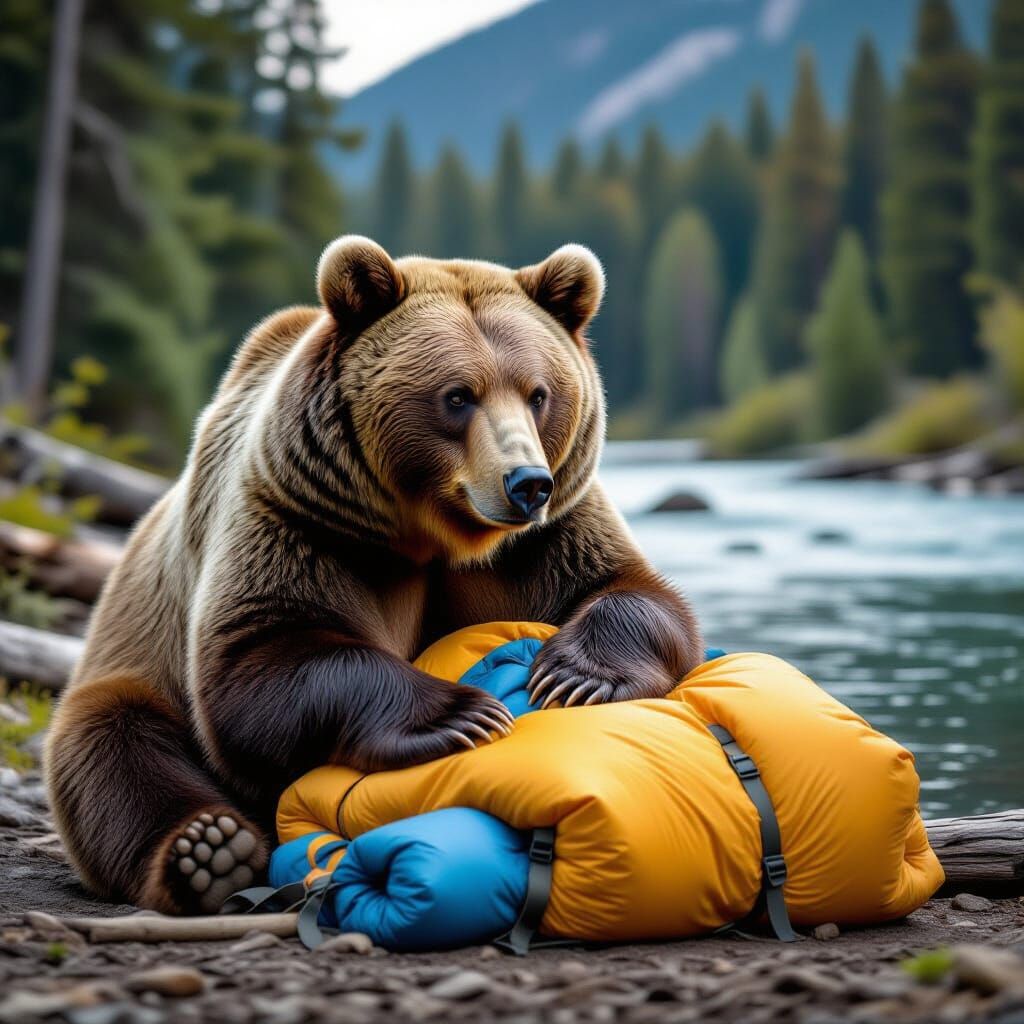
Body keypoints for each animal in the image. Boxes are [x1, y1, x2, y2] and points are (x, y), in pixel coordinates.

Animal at [45, 237, 703, 914]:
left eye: (538, 393)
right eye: (458, 395)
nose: (526, 483)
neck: (434, 533)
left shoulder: (544, 540)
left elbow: (627, 590)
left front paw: (578, 678)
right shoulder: (301, 521)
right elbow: (263, 653)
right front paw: (461, 715)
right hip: (133, 654)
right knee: (112, 742)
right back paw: (209, 851)